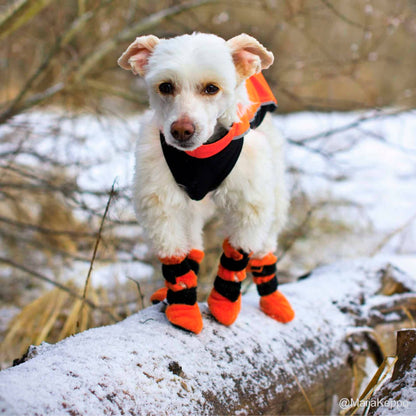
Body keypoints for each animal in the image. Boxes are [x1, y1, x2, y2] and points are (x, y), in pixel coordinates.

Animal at [118, 32, 294, 334]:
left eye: (212, 88)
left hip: (276, 191)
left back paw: (273, 299)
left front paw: (224, 303)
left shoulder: (250, 203)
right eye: (166, 86)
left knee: (265, 248)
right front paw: (182, 307)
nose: (181, 130)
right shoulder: (160, 201)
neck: (200, 154)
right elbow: (175, 257)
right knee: (193, 244)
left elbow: (237, 254)